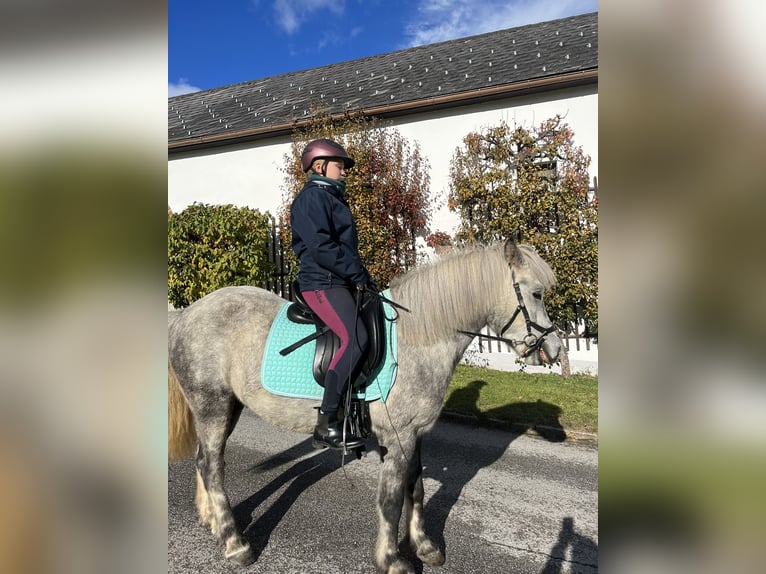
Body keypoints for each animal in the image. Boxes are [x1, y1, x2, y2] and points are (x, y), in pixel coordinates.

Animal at [170, 241, 564, 572]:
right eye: (537, 293)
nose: (555, 349)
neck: (418, 336)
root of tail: (187, 314)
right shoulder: (398, 436)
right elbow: (390, 499)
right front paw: (392, 560)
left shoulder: (414, 434)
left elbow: (415, 489)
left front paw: (425, 547)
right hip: (212, 404)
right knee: (212, 465)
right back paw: (235, 543)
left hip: (227, 406)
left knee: (204, 460)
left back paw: (211, 520)